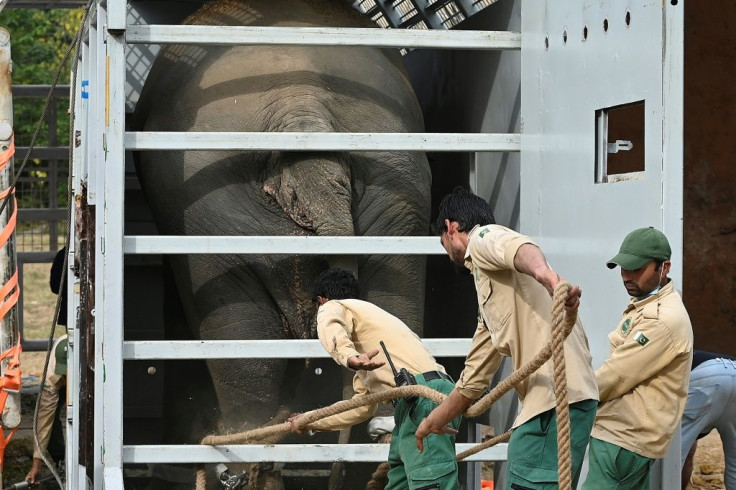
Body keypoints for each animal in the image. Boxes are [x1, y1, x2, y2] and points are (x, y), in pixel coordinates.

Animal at [132, 0, 432, 486]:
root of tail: (302, 109)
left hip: (211, 216)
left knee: (241, 336)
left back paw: (238, 455)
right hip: (399, 191)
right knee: (396, 301)